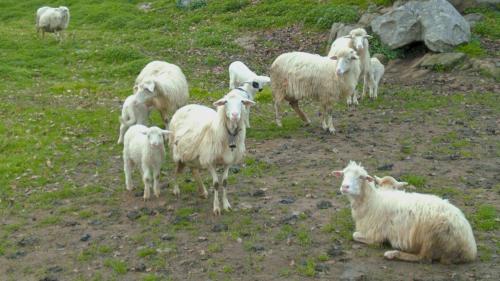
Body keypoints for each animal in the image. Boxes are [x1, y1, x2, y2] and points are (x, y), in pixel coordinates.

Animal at [332, 161, 476, 264]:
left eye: (361, 177)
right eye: (343, 174)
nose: (344, 187)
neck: (372, 201)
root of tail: (470, 250)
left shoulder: (375, 233)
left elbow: (356, 235)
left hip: (433, 235)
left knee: (424, 258)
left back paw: (393, 254)